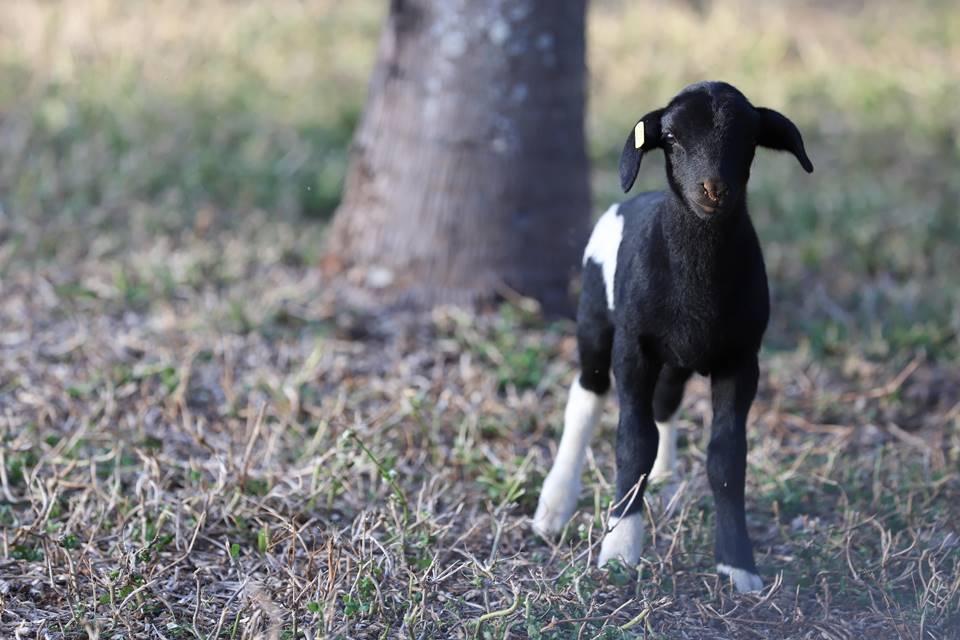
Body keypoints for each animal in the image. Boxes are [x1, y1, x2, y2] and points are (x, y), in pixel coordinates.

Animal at [532, 82, 808, 592]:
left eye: (749, 138)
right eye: (673, 137)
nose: (714, 189)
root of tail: (630, 202)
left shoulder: (742, 358)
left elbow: (726, 457)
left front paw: (738, 566)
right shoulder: (634, 347)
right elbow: (633, 441)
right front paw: (620, 550)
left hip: (678, 358)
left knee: (665, 403)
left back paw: (664, 483)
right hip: (595, 320)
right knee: (586, 396)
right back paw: (554, 508)